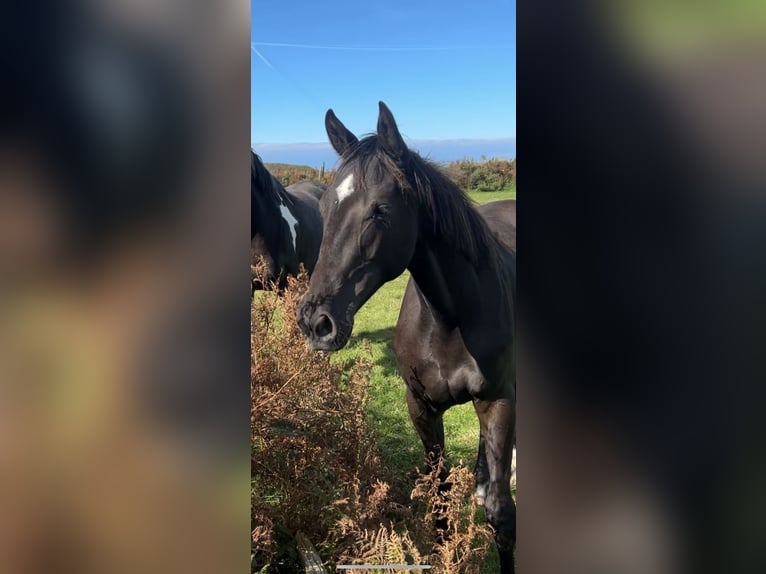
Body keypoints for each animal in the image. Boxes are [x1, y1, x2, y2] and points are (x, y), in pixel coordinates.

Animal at [296, 102, 516, 572]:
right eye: (323, 208)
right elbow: (439, 500)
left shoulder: (499, 399)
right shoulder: (421, 407)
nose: (315, 322)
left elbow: (502, 515)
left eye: (379, 210)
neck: (451, 317)